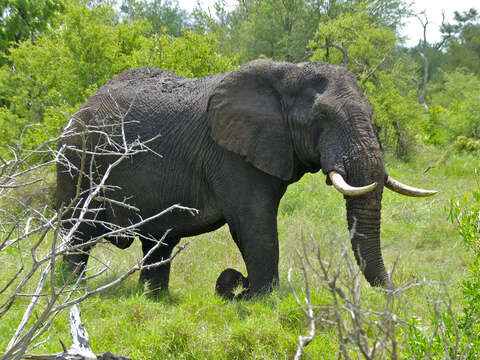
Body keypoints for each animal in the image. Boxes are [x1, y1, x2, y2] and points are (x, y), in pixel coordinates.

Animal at [55, 60, 436, 300]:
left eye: (372, 115)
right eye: (322, 116)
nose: (400, 293)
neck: (287, 73)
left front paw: (248, 293)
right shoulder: (230, 154)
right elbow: (254, 224)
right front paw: (259, 299)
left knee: (157, 241)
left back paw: (154, 298)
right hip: (77, 161)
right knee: (78, 231)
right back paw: (69, 290)